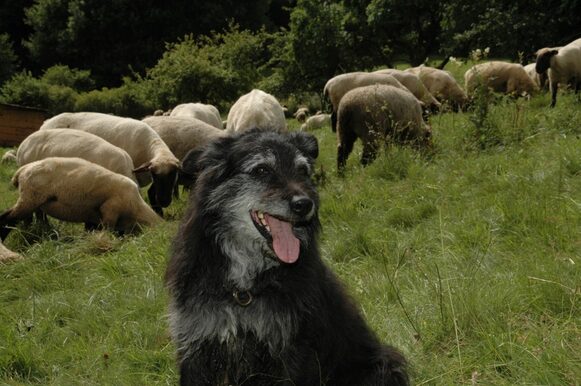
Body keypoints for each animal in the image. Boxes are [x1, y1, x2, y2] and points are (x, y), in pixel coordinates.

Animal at [0, 155, 161, 240]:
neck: (136, 208)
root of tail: (22, 170)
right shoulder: (110, 209)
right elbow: (107, 230)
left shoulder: (94, 217)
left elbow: (90, 229)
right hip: (30, 198)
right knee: (7, 218)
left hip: (33, 200)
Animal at [39, 111, 180, 216]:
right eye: (155, 175)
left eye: (174, 174)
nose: (164, 202)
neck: (146, 146)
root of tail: (46, 122)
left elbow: (151, 192)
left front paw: (159, 213)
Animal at [164, 130, 408, 386]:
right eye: (261, 170)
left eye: (302, 170)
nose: (305, 205)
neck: (245, 290)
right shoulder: (197, 346)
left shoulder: (293, 352)